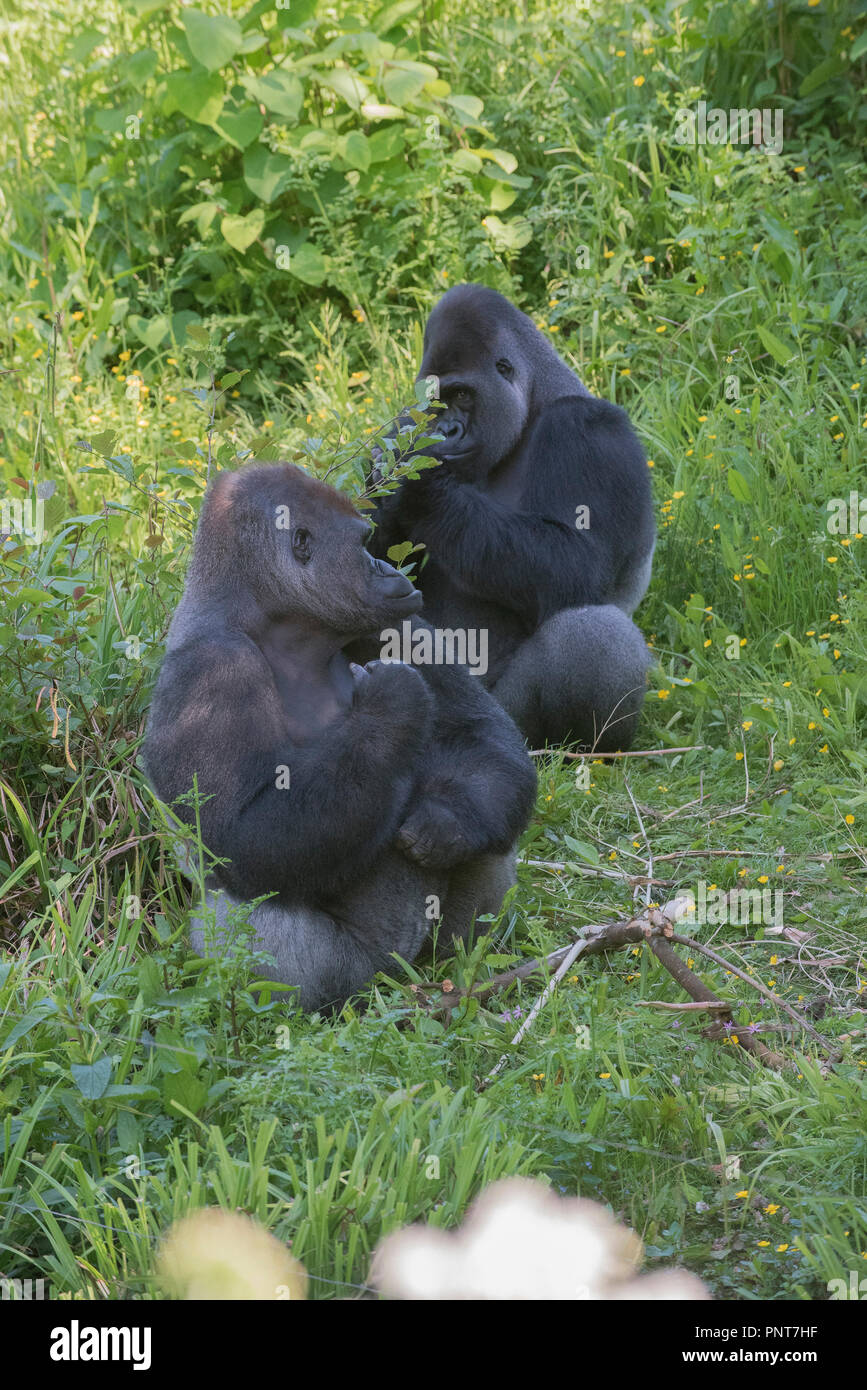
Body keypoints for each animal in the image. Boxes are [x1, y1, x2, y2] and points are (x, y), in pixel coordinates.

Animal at [142, 467, 536, 1011]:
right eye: (364, 544)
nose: (388, 569)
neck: (280, 626)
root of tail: (397, 974)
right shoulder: (212, 667)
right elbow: (244, 837)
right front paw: (394, 703)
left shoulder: (398, 623)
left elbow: (480, 736)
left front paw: (446, 820)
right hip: (359, 973)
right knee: (250, 923)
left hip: (426, 952)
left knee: (490, 816)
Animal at [369, 280, 653, 750]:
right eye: (435, 402)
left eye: (462, 395)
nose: (445, 431)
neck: (537, 400)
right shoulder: (404, 424)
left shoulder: (589, 430)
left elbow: (579, 566)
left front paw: (422, 492)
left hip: (507, 721)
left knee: (591, 635)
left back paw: (581, 748)